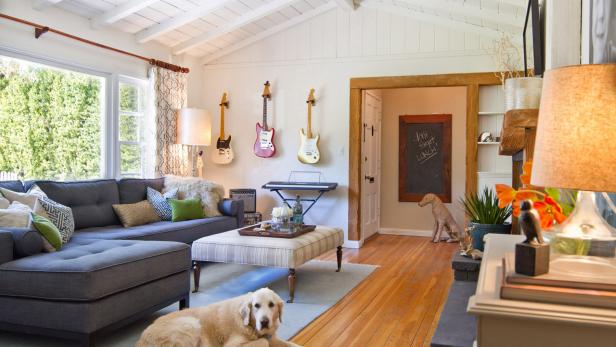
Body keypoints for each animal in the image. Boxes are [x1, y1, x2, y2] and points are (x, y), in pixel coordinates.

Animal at [137, 288, 300, 347]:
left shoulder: (272, 338)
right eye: (256, 305)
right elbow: (263, 342)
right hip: (191, 323)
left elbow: (291, 344)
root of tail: (141, 339)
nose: (264, 322)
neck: (250, 325)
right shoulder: (233, 345)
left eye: (271, 305)